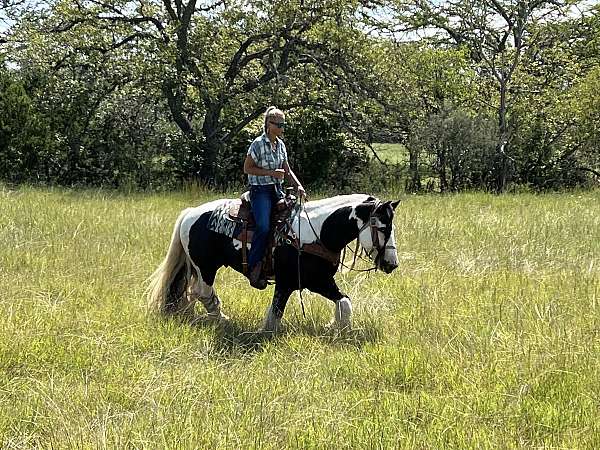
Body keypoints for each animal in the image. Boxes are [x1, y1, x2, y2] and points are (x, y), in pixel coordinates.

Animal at [146, 192, 398, 332]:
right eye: (382, 228)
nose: (392, 264)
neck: (317, 232)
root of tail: (190, 213)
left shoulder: (320, 281)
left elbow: (343, 302)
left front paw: (336, 328)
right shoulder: (291, 283)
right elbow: (275, 313)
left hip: (198, 268)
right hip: (206, 267)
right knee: (203, 293)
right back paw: (222, 321)